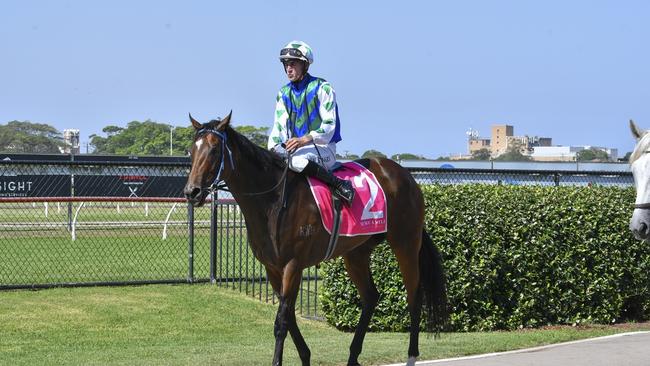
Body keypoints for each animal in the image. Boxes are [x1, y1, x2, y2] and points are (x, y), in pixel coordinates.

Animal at [182, 112, 446, 366]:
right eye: (192, 151)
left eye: (214, 150)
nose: (191, 192)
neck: (273, 200)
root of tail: (404, 174)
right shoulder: (272, 268)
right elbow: (289, 317)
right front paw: (305, 356)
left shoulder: (293, 265)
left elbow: (281, 323)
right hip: (356, 252)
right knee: (371, 296)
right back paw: (353, 356)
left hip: (405, 243)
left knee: (414, 297)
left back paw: (411, 356)